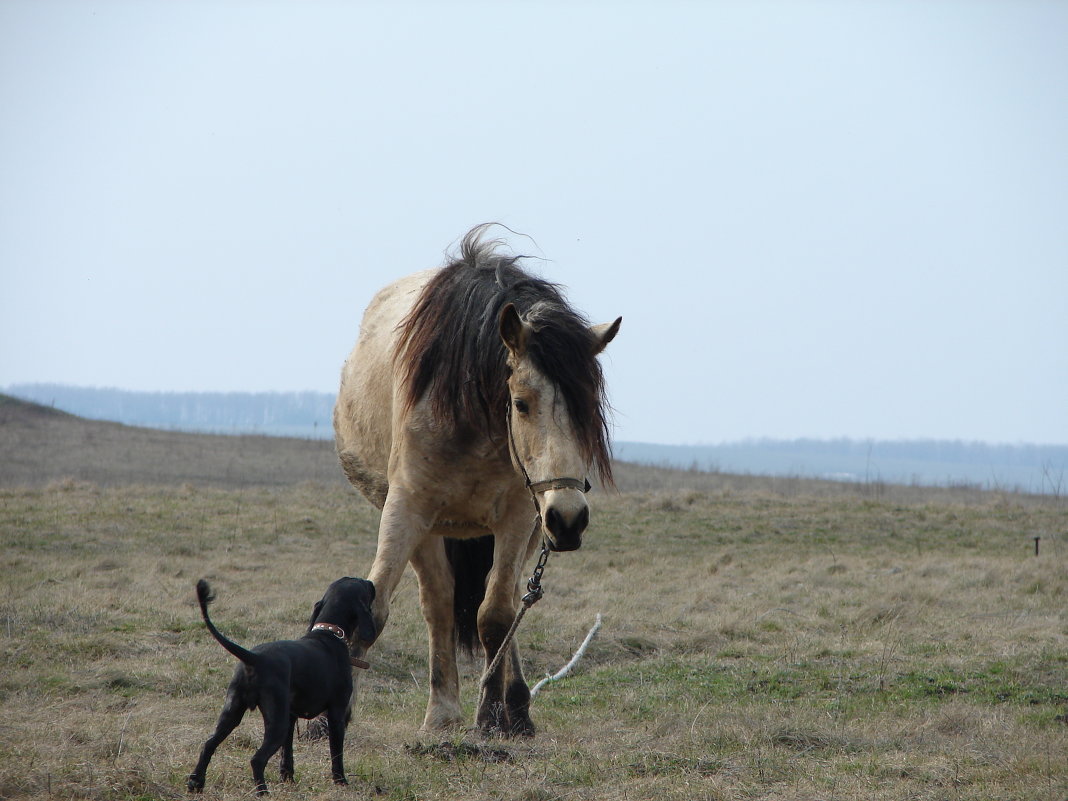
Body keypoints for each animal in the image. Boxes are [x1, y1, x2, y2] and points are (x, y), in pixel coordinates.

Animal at [186, 576, 375, 798]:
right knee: (257, 759)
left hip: (232, 712)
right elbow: (336, 753)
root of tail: (254, 658)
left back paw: (196, 783)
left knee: (208, 745)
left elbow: (288, 753)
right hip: (276, 723)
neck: (329, 634)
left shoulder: (291, 716)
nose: (371, 582)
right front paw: (341, 782)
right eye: (361, 583)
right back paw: (262, 792)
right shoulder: (336, 712)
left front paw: (288, 779)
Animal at [331, 223, 619, 739]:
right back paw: (443, 711)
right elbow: (376, 606)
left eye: (587, 411)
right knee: (439, 604)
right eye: (521, 402)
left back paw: (515, 707)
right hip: (434, 528)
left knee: (508, 595)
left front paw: (491, 716)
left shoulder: (520, 516)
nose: (568, 519)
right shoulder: (407, 508)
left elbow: (497, 615)